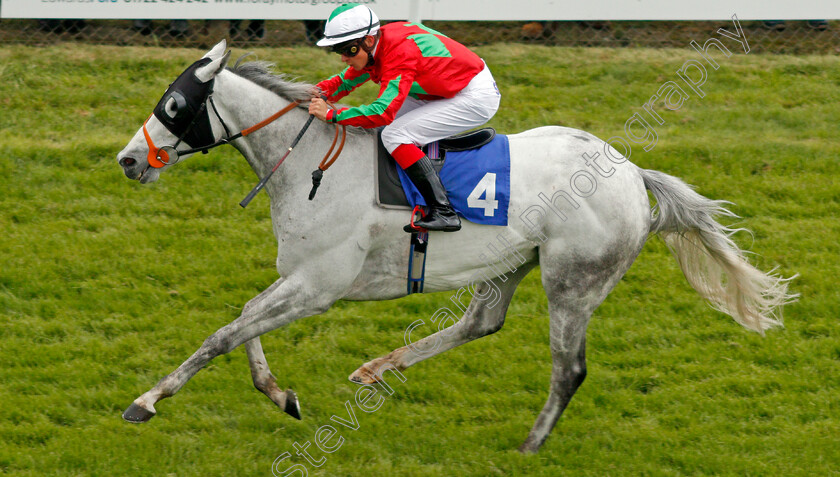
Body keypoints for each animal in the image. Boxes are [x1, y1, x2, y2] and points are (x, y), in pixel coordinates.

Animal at [116, 40, 796, 450]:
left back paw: (530, 445)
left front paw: (147, 401)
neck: (312, 165)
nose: (127, 161)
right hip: (511, 263)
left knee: (568, 368)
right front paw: (281, 395)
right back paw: (378, 367)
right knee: (481, 322)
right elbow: (242, 324)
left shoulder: (317, 286)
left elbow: (223, 335)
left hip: (572, 281)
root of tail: (632, 173)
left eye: (173, 105)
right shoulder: (301, 279)